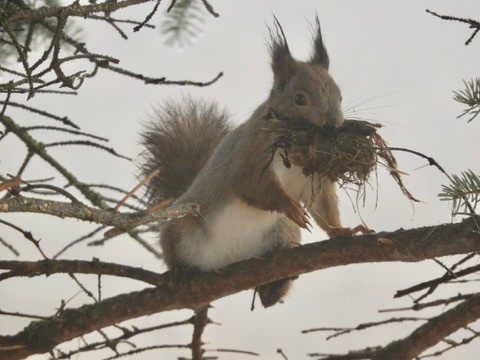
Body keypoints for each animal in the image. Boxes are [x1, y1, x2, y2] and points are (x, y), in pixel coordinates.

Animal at [141, 18, 366, 308]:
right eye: (300, 98)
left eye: (339, 97)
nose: (332, 126)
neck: (294, 148)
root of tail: (231, 259)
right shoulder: (249, 155)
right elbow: (250, 185)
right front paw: (288, 204)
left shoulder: (313, 176)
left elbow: (321, 205)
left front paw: (341, 231)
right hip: (181, 229)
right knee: (175, 252)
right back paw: (181, 271)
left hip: (283, 231)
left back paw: (274, 286)